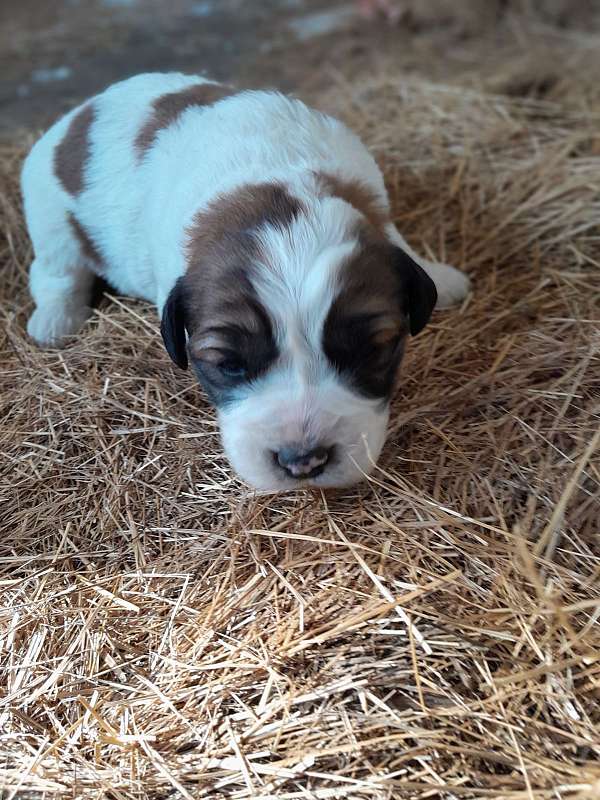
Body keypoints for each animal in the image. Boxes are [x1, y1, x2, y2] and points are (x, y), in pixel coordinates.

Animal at [22, 72, 468, 490]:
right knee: (55, 273)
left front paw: (440, 277)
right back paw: (54, 320)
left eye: (370, 352)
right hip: (51, 222)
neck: (270, 188)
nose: (303, 461)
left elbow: (396, 236)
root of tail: (78, 113)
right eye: (230, 365)